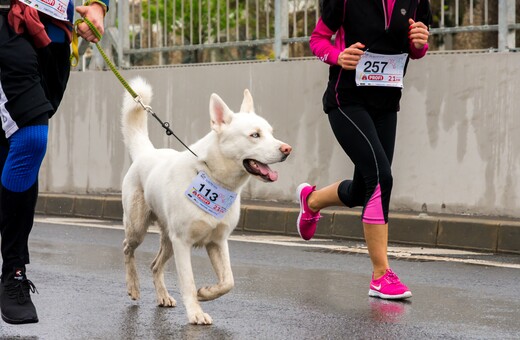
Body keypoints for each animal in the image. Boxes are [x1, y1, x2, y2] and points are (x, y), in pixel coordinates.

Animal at [121, 77, 292, 324]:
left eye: (271, 132)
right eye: (255, 135)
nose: (287, 149)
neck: (213, 176)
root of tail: (146, 152)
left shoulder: (218, 242)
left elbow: (228, 282)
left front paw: (205, 293)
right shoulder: (183, 243)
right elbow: (188, 282)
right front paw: (195, 312)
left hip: (168, 240)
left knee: (154, 265)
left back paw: (162, 295)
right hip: (138, 228)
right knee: (127, 249)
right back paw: (133, 285)